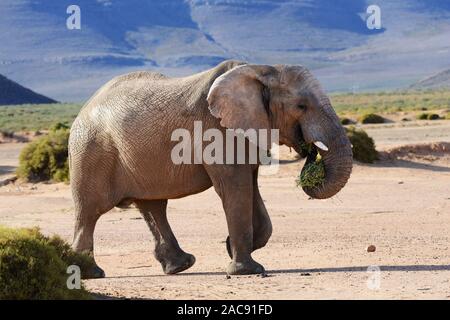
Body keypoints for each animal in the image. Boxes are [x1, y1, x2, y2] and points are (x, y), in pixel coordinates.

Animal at [69, 59, 352, 278]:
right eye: (301, 106)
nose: (309, 151)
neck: (262, 69)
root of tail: (83, 109)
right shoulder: (216, 131)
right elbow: (235, 187)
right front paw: (247, 270)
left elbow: (252, 189)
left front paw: (232, 246)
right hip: (91, 151)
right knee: (90, 211)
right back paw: (90, 273)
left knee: (153, 206)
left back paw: (180, 266)